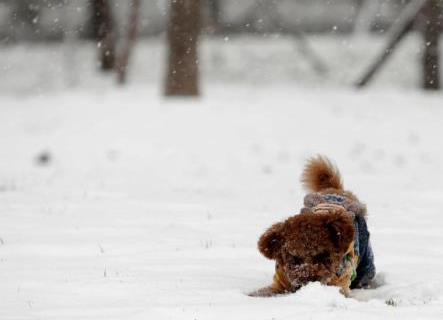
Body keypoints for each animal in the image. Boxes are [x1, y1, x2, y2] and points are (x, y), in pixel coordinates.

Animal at [250, 156, 374, 296]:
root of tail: (336, 191)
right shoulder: (281, 281)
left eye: (322, 256)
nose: (309, 280)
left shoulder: (340, 281)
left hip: (365, 264)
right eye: (295, 258)